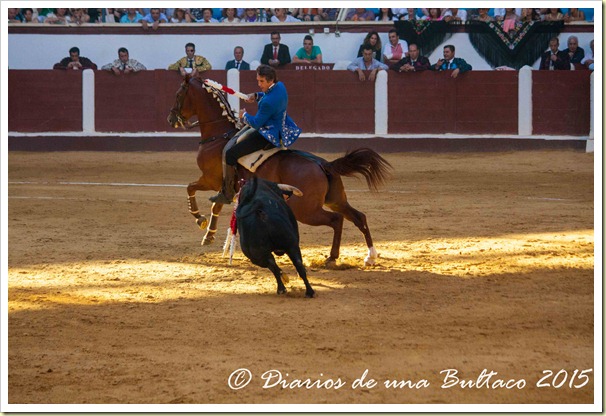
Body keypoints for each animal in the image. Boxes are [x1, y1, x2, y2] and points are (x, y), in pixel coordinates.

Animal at [167, 76, 394, 264]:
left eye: (179, 94)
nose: (171, 119)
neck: (219, 134)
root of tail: (324, 164)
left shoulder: (210, 179)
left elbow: (190, 188)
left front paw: (199, 219)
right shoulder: (224, 187)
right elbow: (216, 205)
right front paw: (209, 235)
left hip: (306, 210)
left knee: (336, 220)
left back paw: (332, 257)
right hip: (336, 200)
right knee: (358, 217)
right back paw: (371, 256)